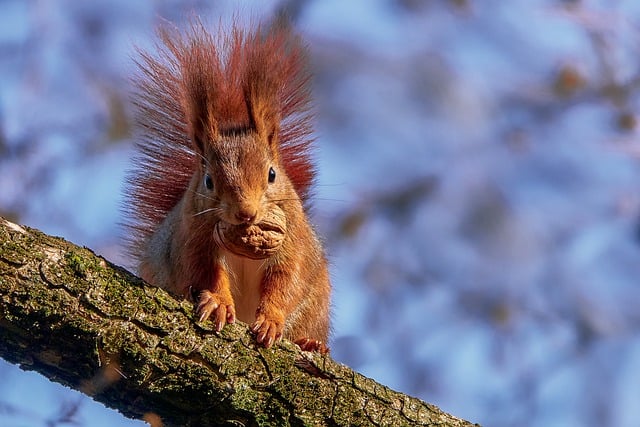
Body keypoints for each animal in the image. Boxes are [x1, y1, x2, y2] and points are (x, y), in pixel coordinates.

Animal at [126, 20, 336, 352]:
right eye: (209, 181)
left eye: (272, 174)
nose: (245, 213)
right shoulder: (193, 238)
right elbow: (203, 271)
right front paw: (218, 302)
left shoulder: (292, 240)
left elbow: (286, 280)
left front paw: (271, 318)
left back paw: (309, 343)